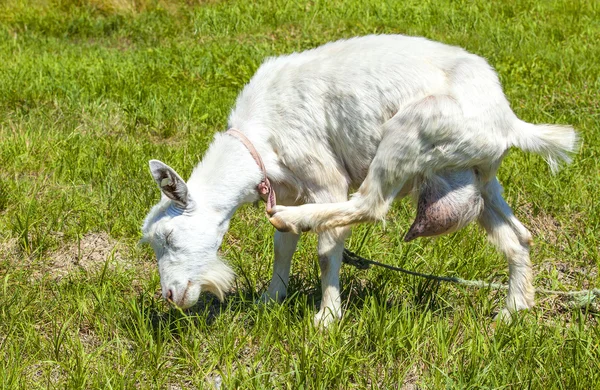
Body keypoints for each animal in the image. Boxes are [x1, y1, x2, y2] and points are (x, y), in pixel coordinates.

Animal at [142, 35, 576, 324]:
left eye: (168, 237)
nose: (170, 295)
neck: (259, 135)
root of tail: (507, 120)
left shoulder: (321, 175)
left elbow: (326, 249)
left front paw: (327, 317)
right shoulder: (291, 188)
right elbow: (282, 246)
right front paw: (270, 299)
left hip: (409, 130)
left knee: (370, 204)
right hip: (477, 178)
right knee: (518, 237)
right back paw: (513, 310)